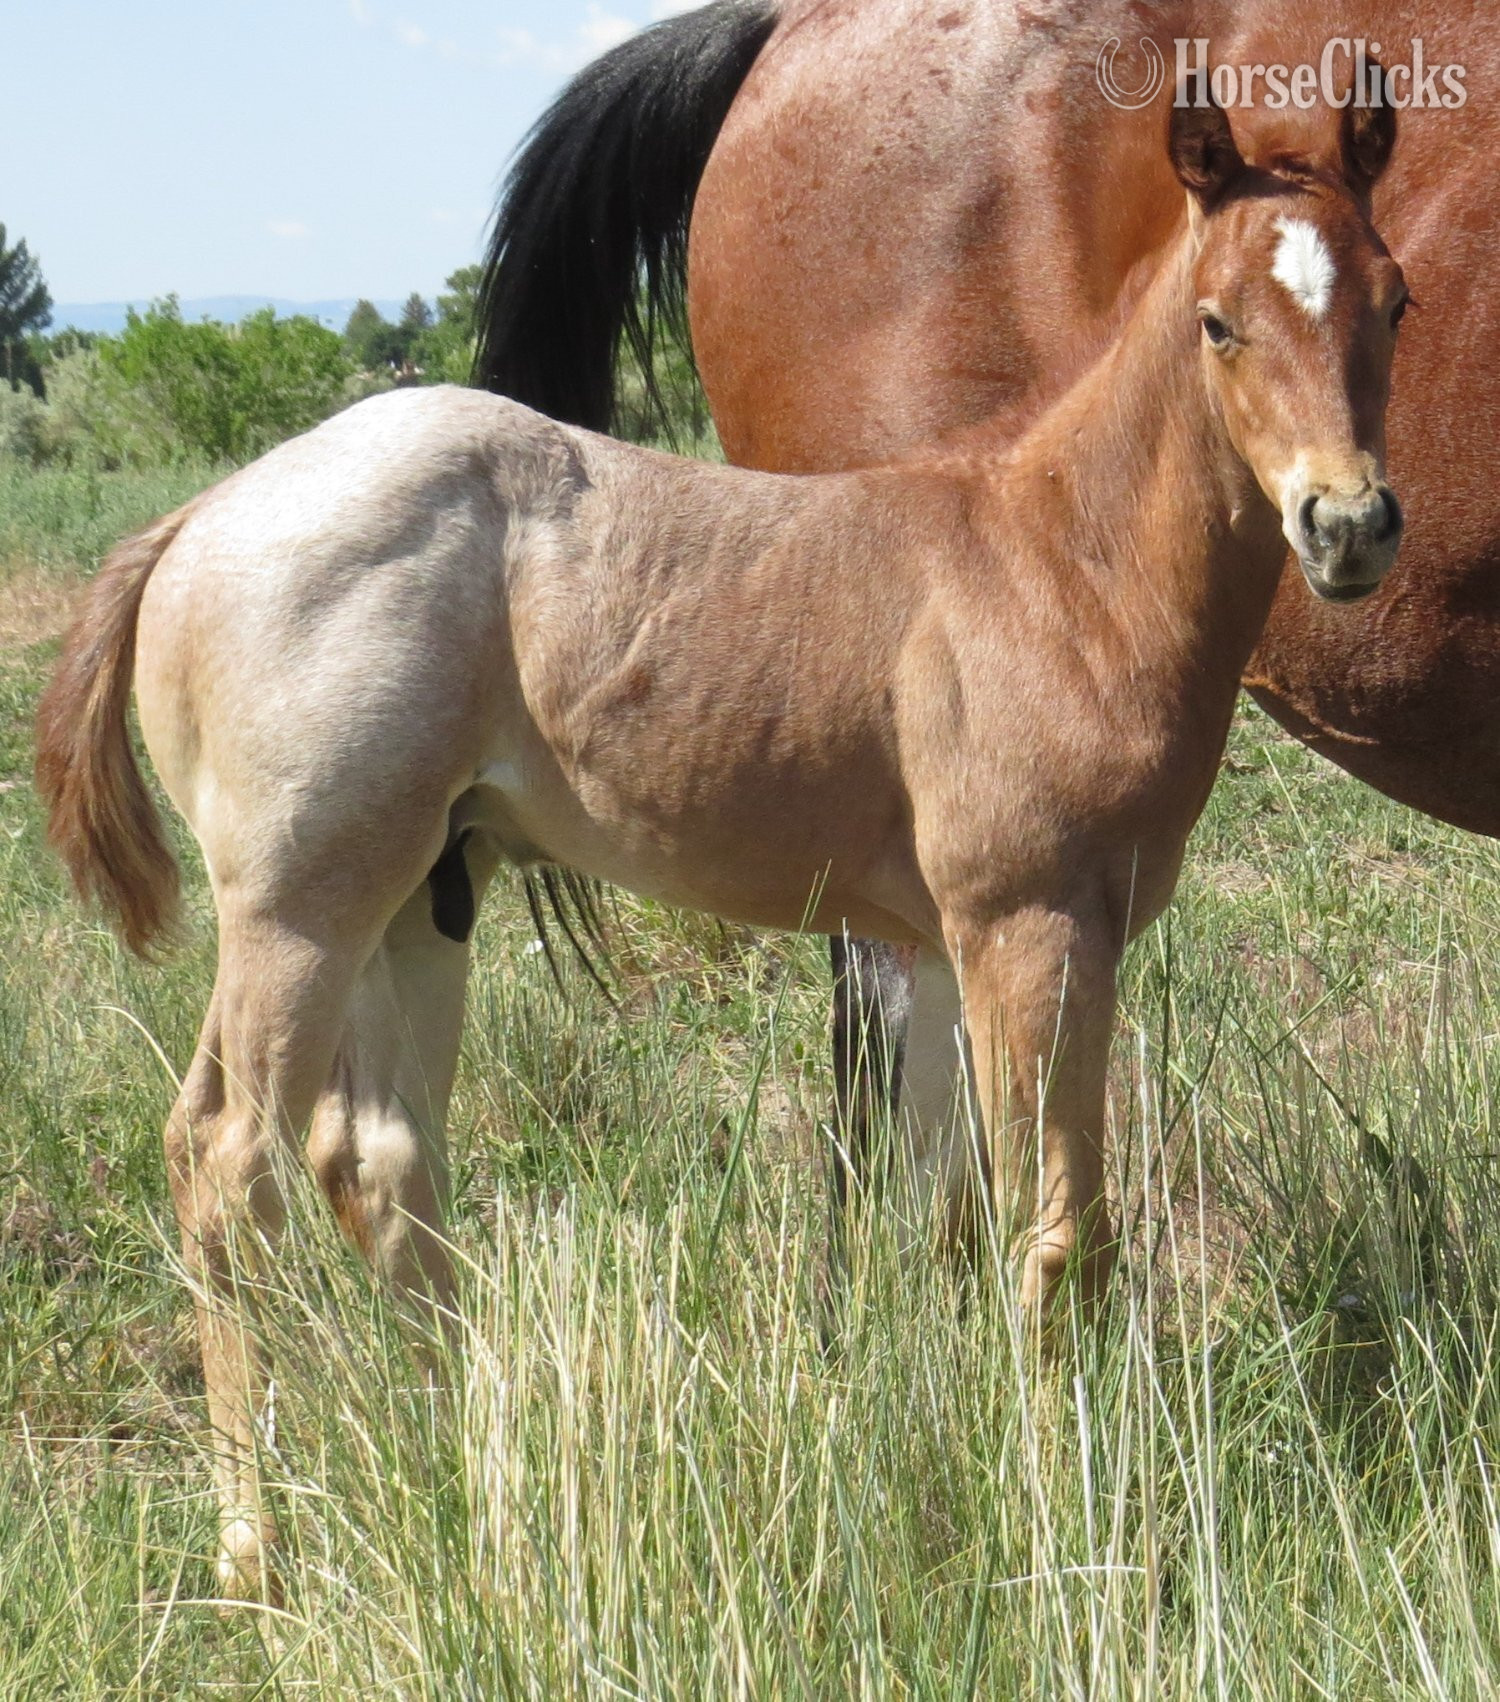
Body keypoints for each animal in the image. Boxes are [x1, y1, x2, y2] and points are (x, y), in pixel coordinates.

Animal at [35, 93, 1404, 1601]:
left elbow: (949, 1212)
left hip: (418, 900)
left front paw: (954, 1447)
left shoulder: (947, 947)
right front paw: (1069, 1510)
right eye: (1220, 321)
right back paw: (254, 1543)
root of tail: (195, 522)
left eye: (1395, 299)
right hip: (294, 913)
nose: (1348, 524)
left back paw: (467, 1477)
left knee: (378, 1160)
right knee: (228, 1167)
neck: (1059, 566)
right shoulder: (1034, 924)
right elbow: (1060, 1230)